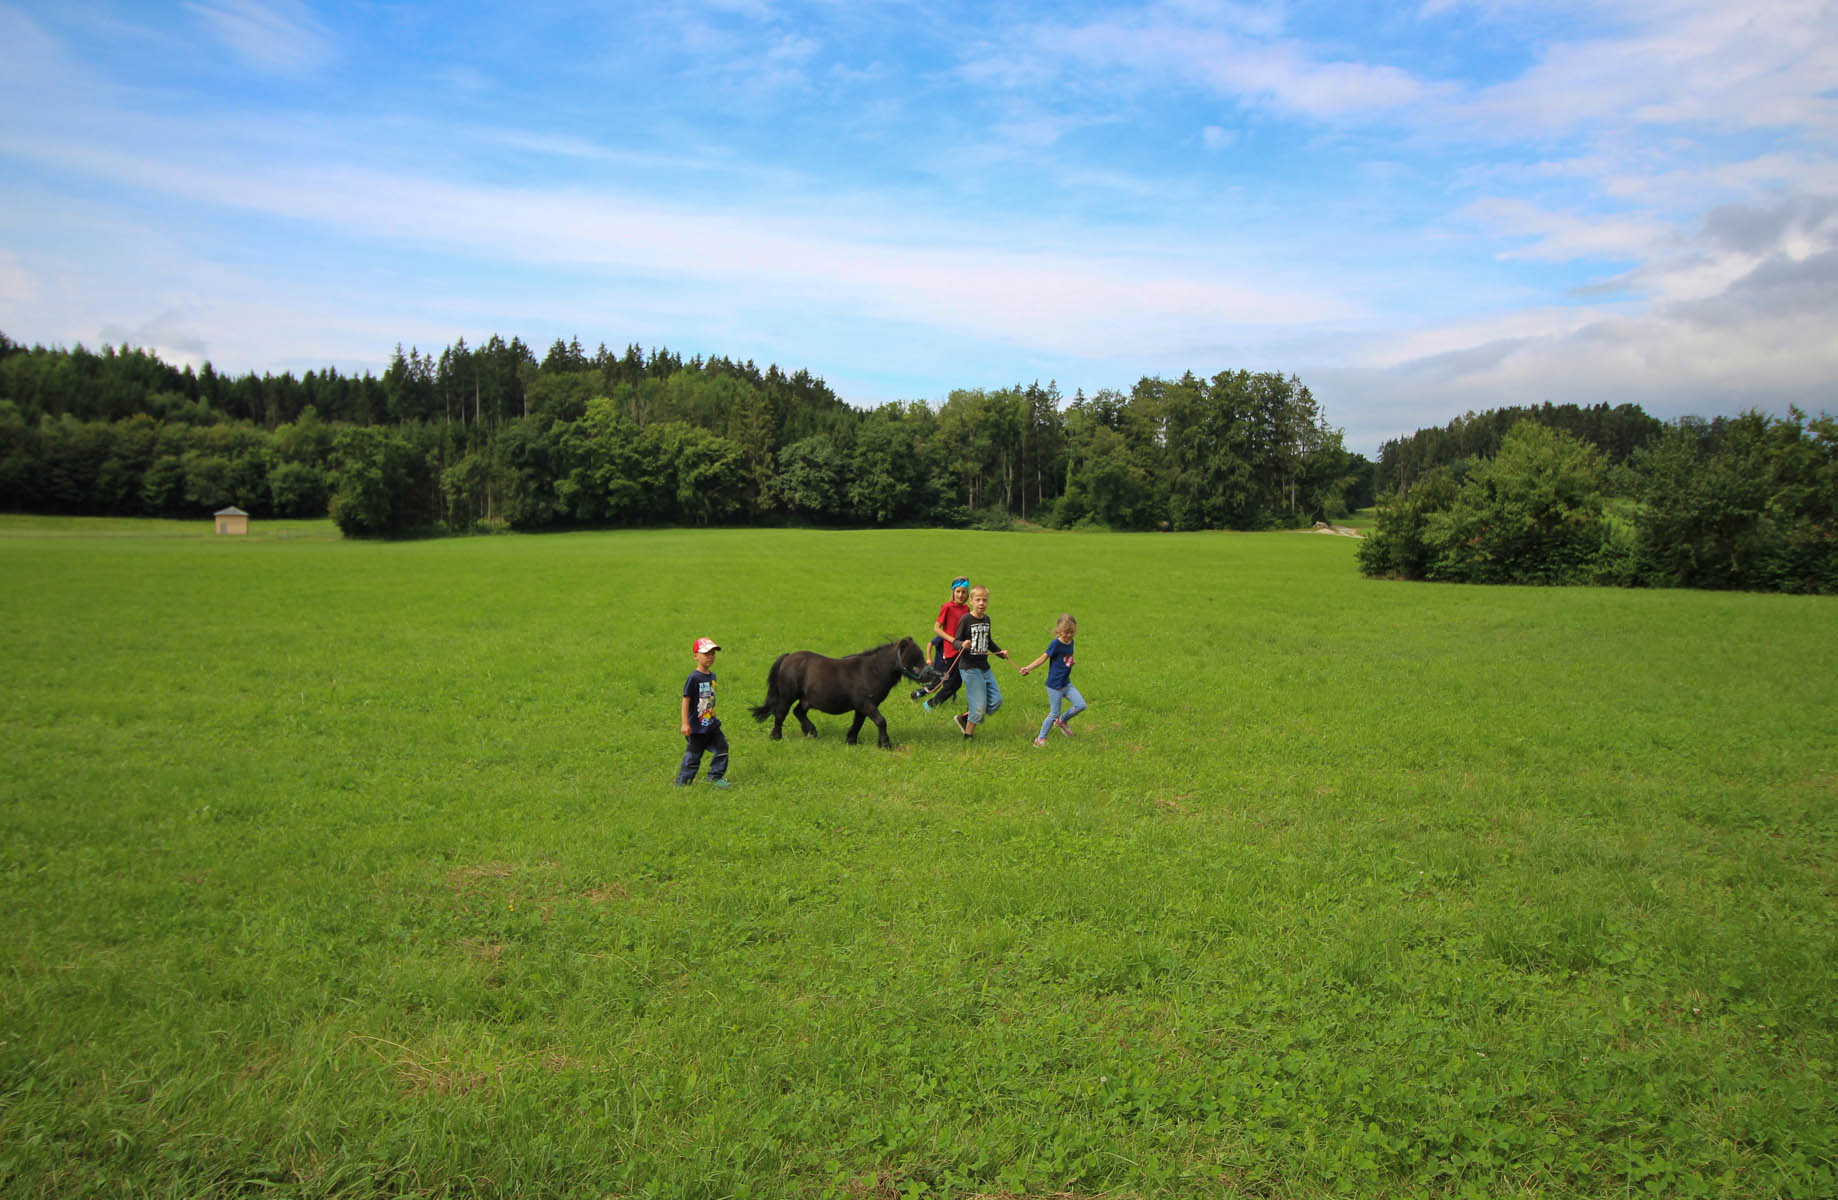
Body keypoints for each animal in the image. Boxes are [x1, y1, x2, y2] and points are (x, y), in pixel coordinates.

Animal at [753, 635, 941, 749]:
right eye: (914, 657)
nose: (932, 675)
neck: (872, 671)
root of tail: (788, 657)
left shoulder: (863, 707)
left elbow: (858, 723)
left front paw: (851, 741)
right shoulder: (866, 704)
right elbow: (881, 721)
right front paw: (885, 744)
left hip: (806, 699)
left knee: (798, 711)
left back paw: (811, 732)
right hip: (787, 695)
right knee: (781, 713)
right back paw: (776, 736)